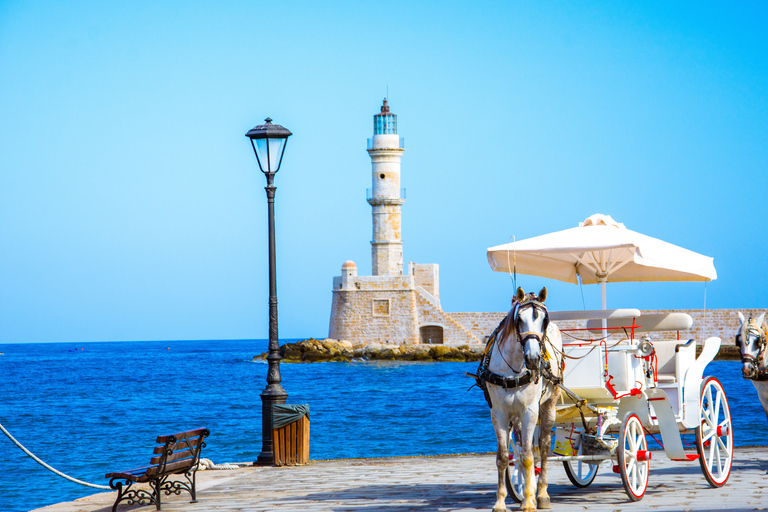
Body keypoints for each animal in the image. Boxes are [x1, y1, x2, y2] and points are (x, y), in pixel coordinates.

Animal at [480, 288, 564, 512]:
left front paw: (527, 502)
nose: (534, 359)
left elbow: (527, 457)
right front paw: (501, 502)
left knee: (542, 447)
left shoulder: (530, 411)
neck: (513, 369)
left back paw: (541, 493)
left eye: (544, 320)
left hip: (549, 405)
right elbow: (503, 457)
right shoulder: (498, 413)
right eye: (519, 319)